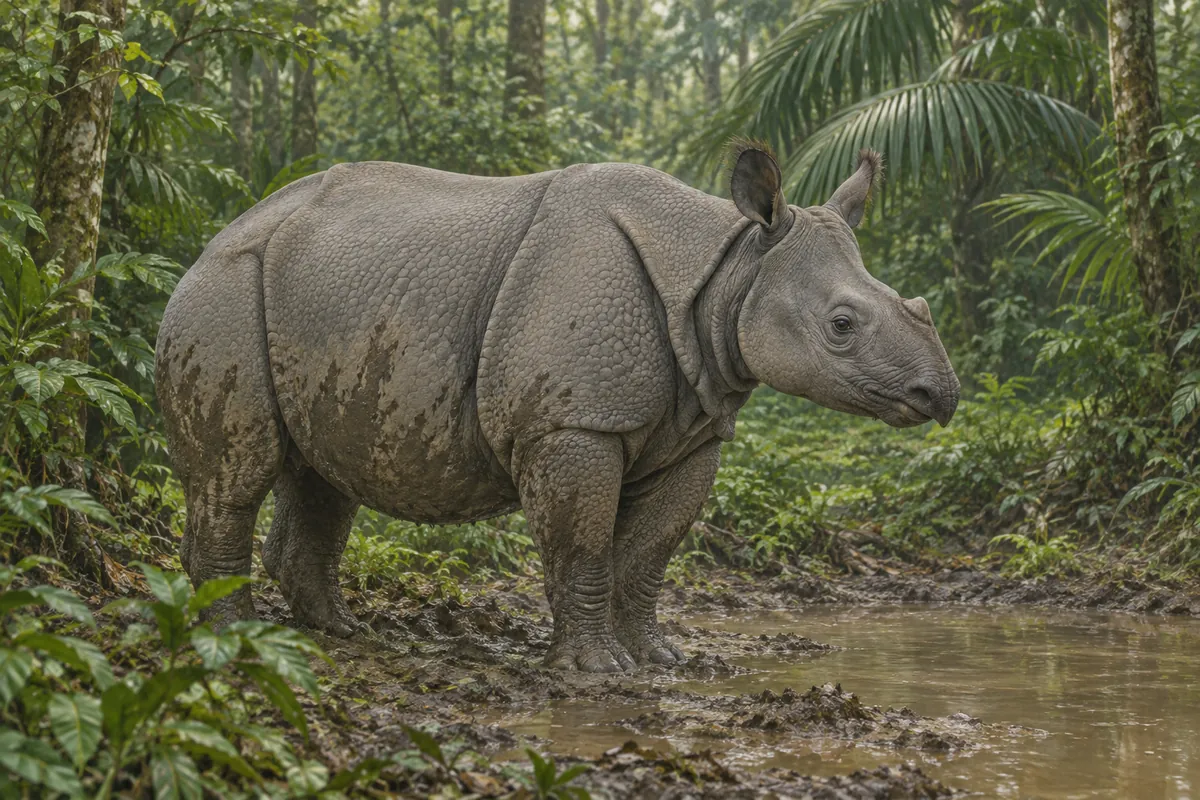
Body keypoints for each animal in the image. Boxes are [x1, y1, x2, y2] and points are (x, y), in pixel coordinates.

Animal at [156, 144, 959, 672]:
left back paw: (343, 635)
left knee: (324, 471)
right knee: (240, 470)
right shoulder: (572, 423)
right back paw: (236, 639)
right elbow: (584, 543)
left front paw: (660, 658)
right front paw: (595, 673)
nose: (940, 395)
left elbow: (649, 551)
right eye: (842, 326)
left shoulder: (694, 429)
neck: (730, 268)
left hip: (318, 298)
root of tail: (213, 238)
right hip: (224, 291)